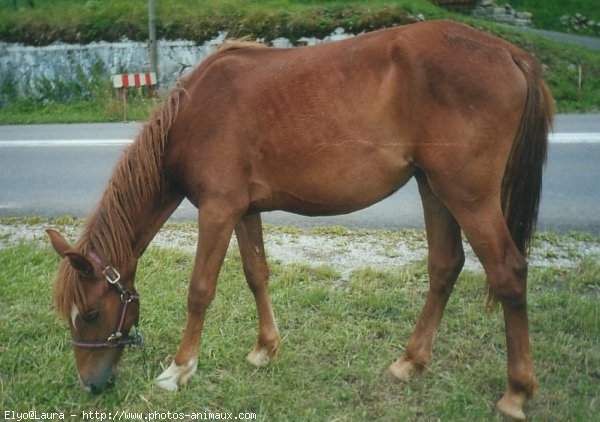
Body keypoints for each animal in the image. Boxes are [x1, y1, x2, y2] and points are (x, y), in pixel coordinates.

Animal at [48, 21, 552, 420]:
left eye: (90, 313)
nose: (90, 384)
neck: (193, 114)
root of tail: (507, 51)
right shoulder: (244, 210)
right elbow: (256, 274)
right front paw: (264, 349)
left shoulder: (217, 210)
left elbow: (200, 290)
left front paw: (179, 369)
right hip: (434, 188)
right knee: (445, 266)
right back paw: (410, 361)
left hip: (468, 196)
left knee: (508, 272)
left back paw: (516, 392)